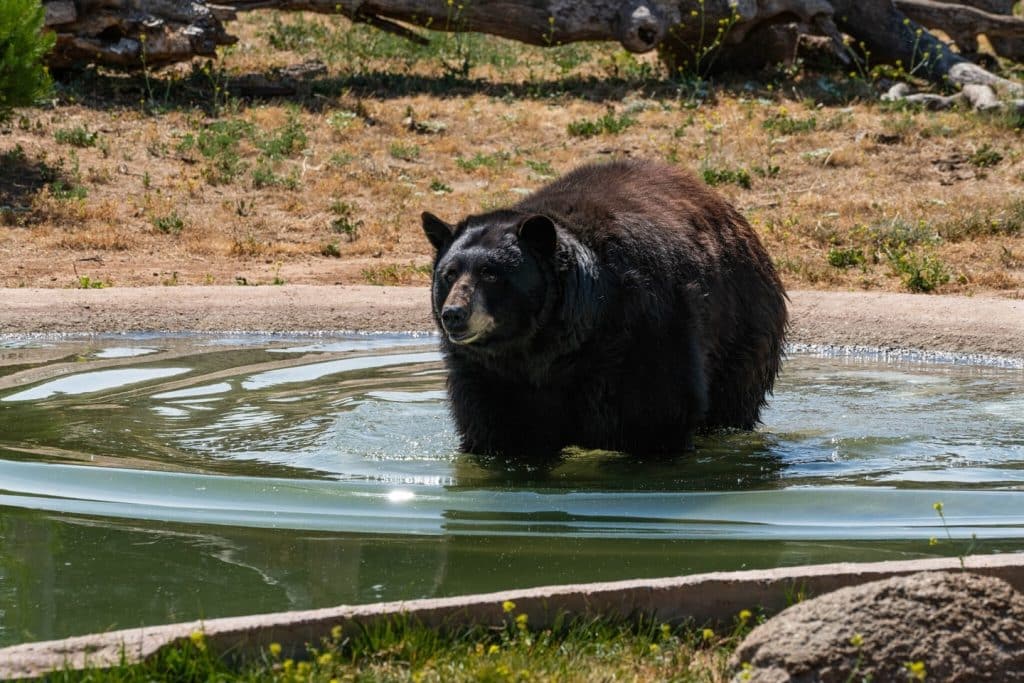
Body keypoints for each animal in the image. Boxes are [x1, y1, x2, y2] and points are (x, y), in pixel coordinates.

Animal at [421, 159, 787, 458]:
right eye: (449, 274)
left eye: (491, 274)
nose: (454, 314)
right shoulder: (490, 373)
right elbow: (499, 429)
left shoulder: (644, 329)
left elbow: (657, 411)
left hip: (743, 326)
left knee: (732, 400)